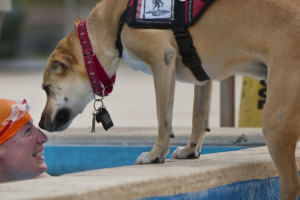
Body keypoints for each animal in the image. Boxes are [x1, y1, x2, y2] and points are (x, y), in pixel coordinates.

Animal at [39, 0, 300, 199]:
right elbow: (198, 116)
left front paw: (155, 155)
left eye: (46, 89)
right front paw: (191, 151)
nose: (40, 124)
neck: (114, 20)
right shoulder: (202, 77)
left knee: (291, 184)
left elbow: (163, 119)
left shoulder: (162, 60)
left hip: (276, 120)